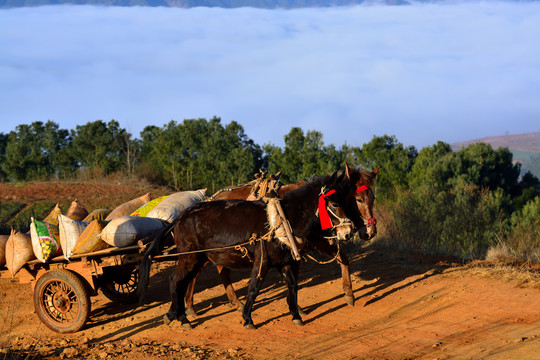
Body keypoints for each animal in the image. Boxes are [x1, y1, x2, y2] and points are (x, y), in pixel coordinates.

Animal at [139, 172, 356, 330]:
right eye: (335, 203)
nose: (348, 232)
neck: (281, 221)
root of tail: (181, 217)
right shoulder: (263, 261)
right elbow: (254, 288)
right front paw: (247, 319)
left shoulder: (284, 262)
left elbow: (293, 286)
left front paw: (296, 315)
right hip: (189, 257)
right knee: (176, 281)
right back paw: (179, 317)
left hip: (197, 258)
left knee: (183, 281)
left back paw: (178, 316)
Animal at [184, 165, 378, 314]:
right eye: (358, 200)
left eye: (373, 198)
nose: (370, 232)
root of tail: (211, 199)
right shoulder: (303, 245)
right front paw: (296, 306)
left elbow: (342, 258)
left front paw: (349, 294)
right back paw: (190, 307)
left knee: (220, 271)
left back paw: (233, 303)